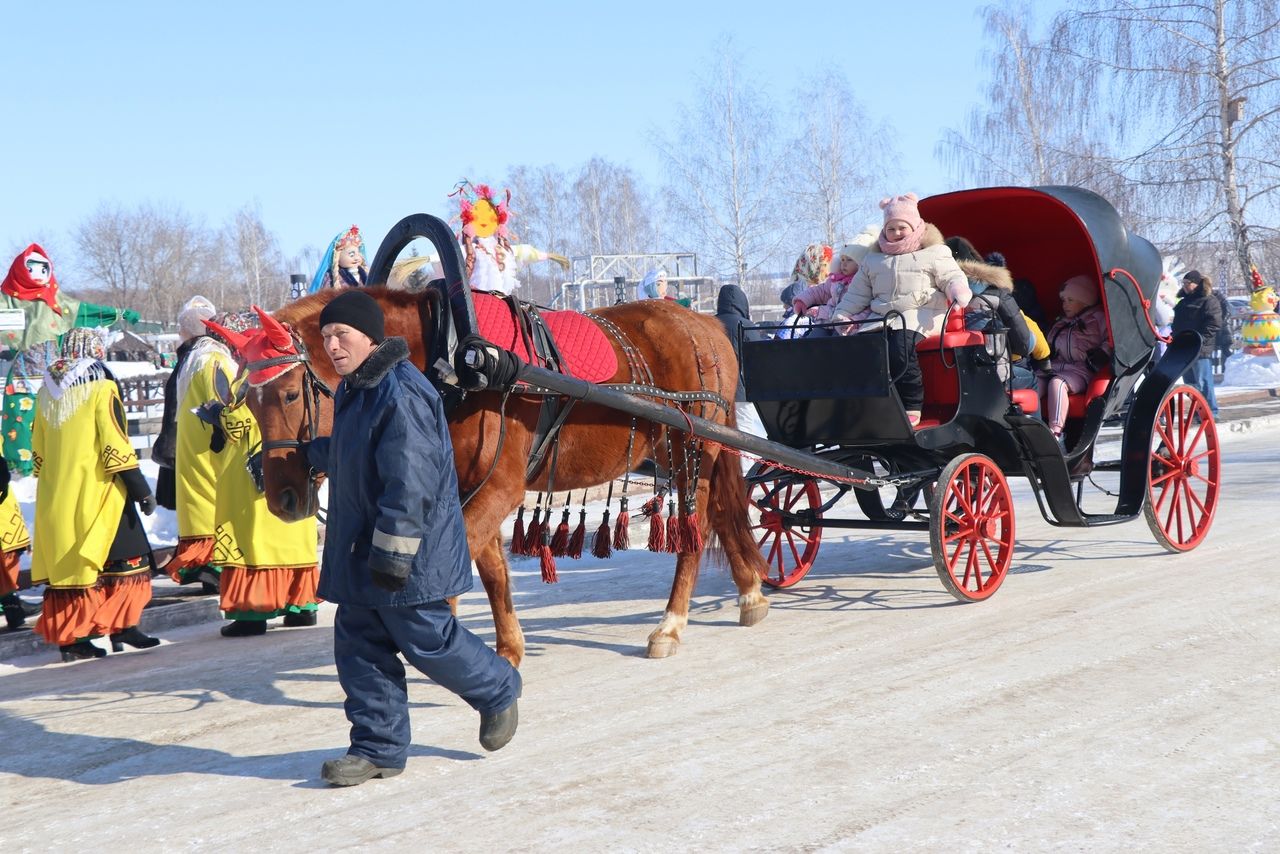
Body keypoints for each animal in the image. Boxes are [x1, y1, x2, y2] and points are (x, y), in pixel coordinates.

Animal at [240, 290, 768, 665]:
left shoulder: (499, 486)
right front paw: (509, 648)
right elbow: (491, 568)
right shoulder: (466, 486)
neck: (452, 360)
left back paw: (671, 624)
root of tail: (704, 324)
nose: (282, 496)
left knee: (696, 528)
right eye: (246, 401)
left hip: (690, 447)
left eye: (290, 394)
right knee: (722, 511)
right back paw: (750, 592)